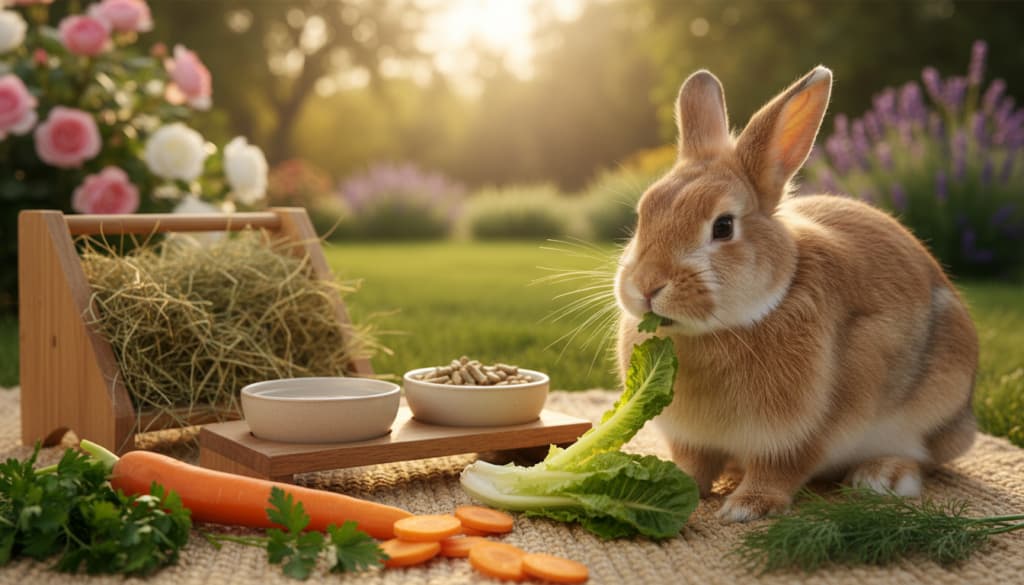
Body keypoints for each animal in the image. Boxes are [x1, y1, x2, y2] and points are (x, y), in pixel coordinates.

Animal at [614, 66, 978, 523]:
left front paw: (745, 508)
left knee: (923, 457)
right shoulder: (693, 438)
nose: (646, 285)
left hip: (936, 407)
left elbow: (779, 470)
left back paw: (883, 478)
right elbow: (694, 464)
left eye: (723, 227)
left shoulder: (800, 433)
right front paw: (678, 485)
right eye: (643, 214)